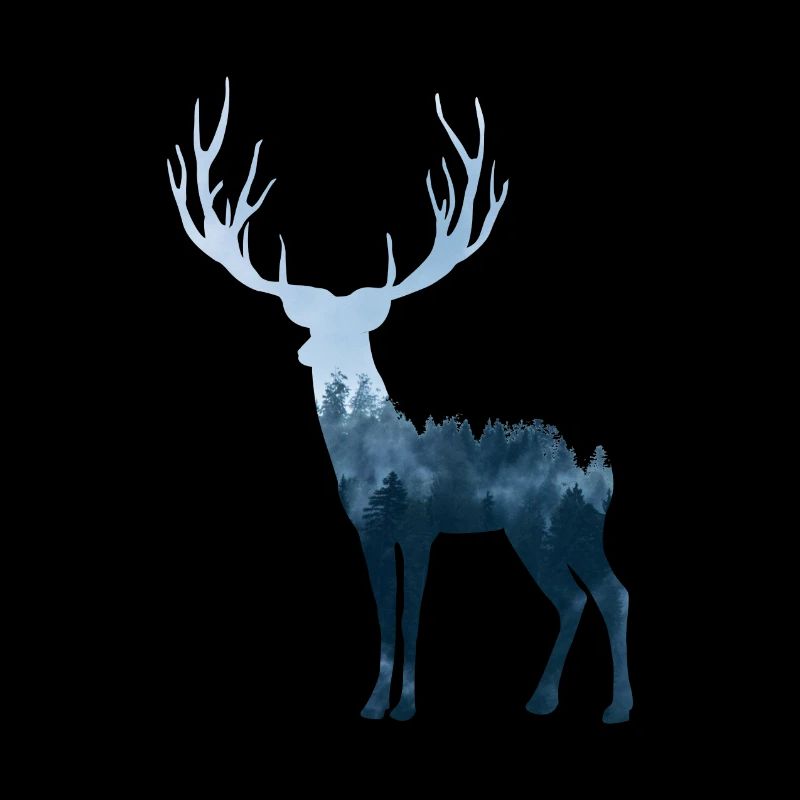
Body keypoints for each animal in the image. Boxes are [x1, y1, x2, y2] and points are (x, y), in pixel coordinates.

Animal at [167, 78, 633, 724]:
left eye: (356, 331)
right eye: (314, 326)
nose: (313, 357)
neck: (371, 455)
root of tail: (607, 472)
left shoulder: (419, 525)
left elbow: (412, 616)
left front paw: (406, 706)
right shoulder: (366, 528)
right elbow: (385, 620)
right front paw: (371, 704)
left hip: (560, 519)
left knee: (608, 593)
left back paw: (615, 707)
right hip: (538, 527)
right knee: (575, 597)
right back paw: (542, 700)